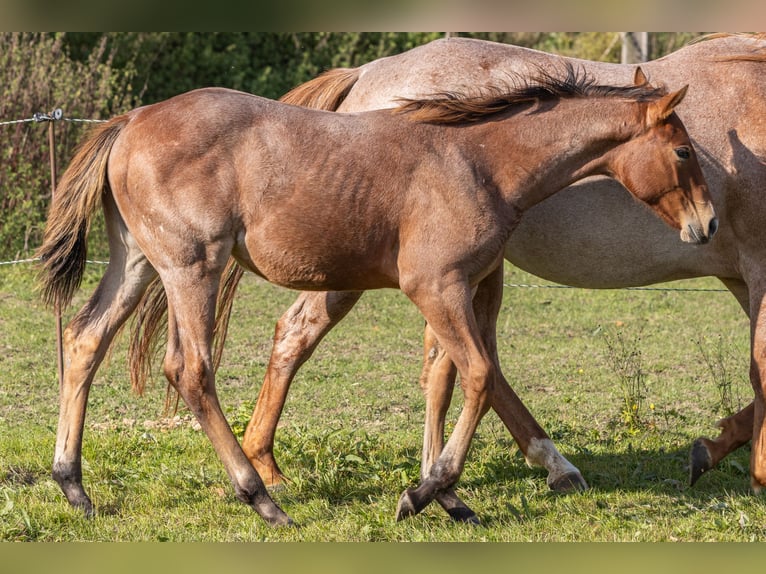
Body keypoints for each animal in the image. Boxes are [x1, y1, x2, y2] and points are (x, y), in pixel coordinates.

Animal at [37, 65, 720, 528]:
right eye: (684, 150)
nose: (708, 225)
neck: (479, 163)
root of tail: (131, 120)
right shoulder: (436, 286)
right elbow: (477, 376)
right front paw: (423, 493)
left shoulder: (459, 288)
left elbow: (446, 379)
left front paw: (447, 496)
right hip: (191, 266)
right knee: (190, 368)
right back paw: (261, 498)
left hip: (137, 262)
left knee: (84, 338)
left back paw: (74, 487)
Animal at [183, 33, 764, 502]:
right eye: (685, 152)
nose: (707, 224)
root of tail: (366, 75)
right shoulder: (756, 267)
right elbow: (760, 366)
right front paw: (750, 469)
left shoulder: (742, 275)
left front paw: (718, 448)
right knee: (311, 335)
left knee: (446, 363)